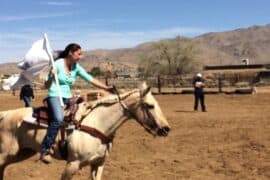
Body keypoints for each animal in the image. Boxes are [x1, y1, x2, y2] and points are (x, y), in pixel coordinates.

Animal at [0, 82, 169, 179]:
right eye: (150, 105)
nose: (166, 129)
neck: (98, 124)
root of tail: (5, 114)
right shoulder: (72, 164)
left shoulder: (98, 164)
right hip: (6, 153)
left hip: (22, 153)